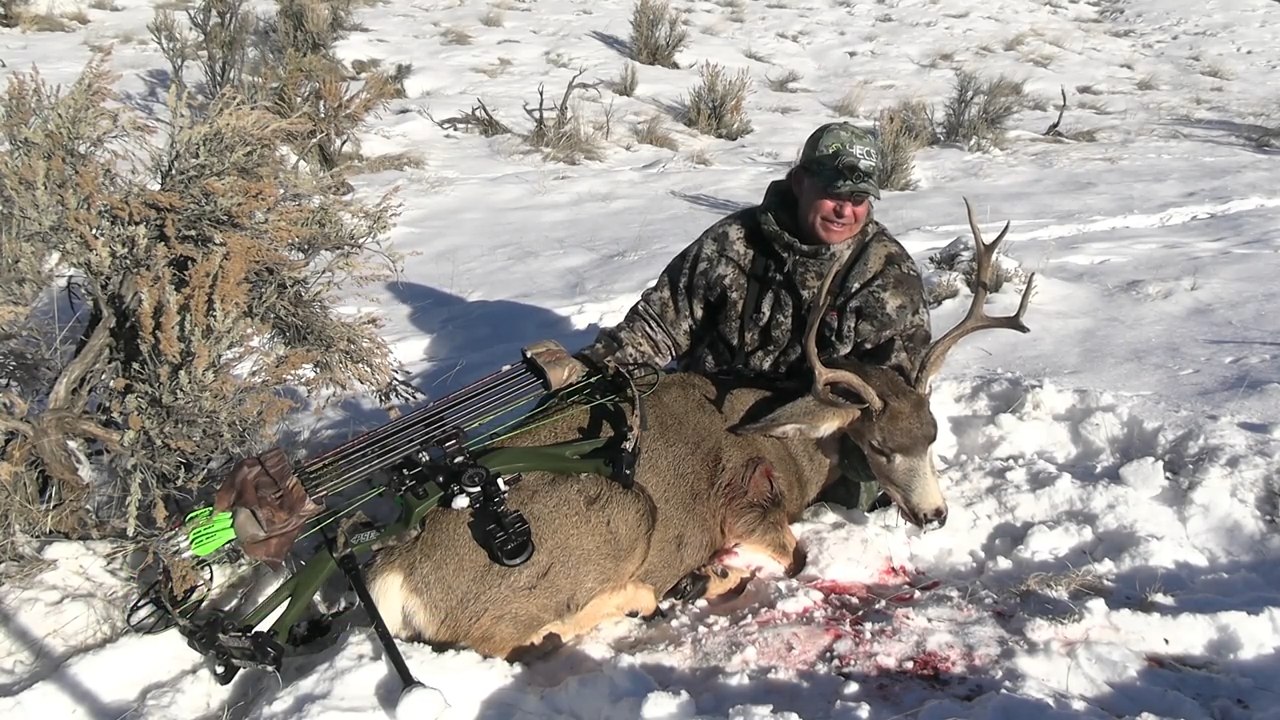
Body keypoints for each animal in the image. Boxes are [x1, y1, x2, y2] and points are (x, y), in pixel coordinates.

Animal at [366, 197, 1035, 659]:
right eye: (876, 445)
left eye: (933, 434)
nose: (934, 515)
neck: (792, 451)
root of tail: (393, 574)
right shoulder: (745, 502)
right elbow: (797, 556)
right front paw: (725, 570)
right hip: (621, 514)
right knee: (509, 642)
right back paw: (663, 590)